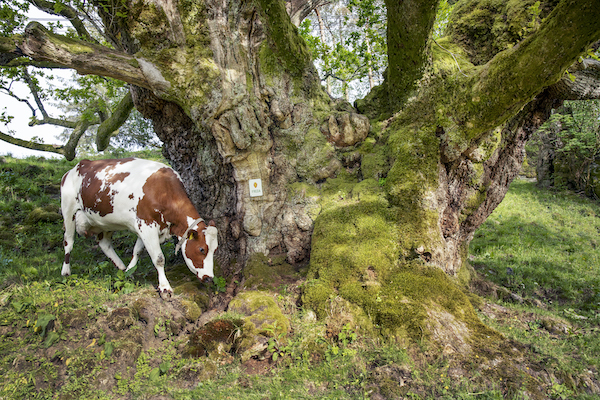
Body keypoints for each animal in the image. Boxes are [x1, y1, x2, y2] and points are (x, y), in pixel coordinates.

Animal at [60, 157, 218, 294]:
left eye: (215, 250)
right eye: (202, 249)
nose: (209, 278)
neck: (163, 190)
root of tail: (78, 166)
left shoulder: (143, 227)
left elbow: (137, 250)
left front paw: (129, 271)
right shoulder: (147, 224)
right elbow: (159, 258)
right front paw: (164, 287)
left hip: (106, 220)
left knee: (104, 243)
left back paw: (121, 266)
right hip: (68, 210)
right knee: (68, 242)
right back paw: (66, 272)